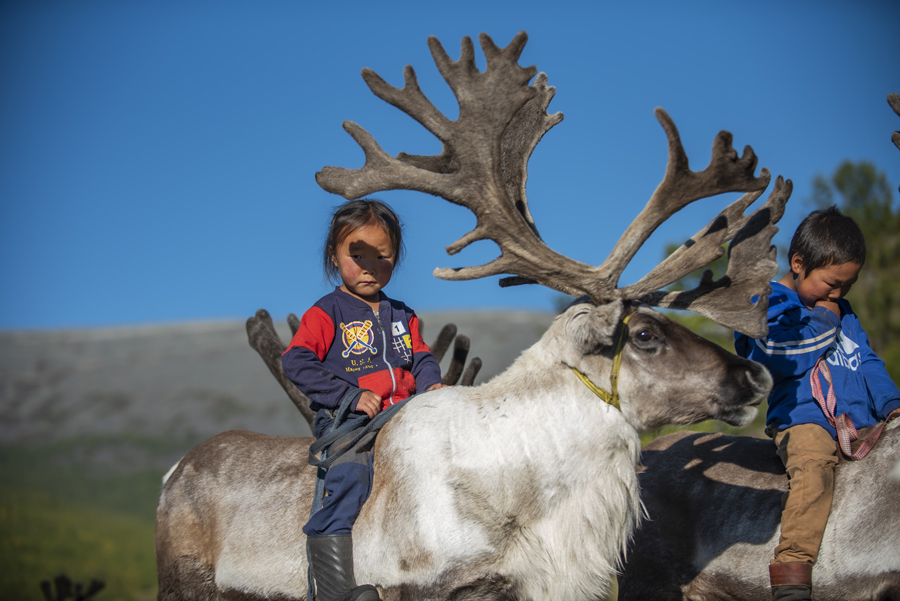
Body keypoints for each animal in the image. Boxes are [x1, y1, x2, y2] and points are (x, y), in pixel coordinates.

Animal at [155, 32, 791, 601]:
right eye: (643, 333)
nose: (756, 375)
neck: (526, 493)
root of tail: (174, 472)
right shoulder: (414, 587)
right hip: (184, 584)